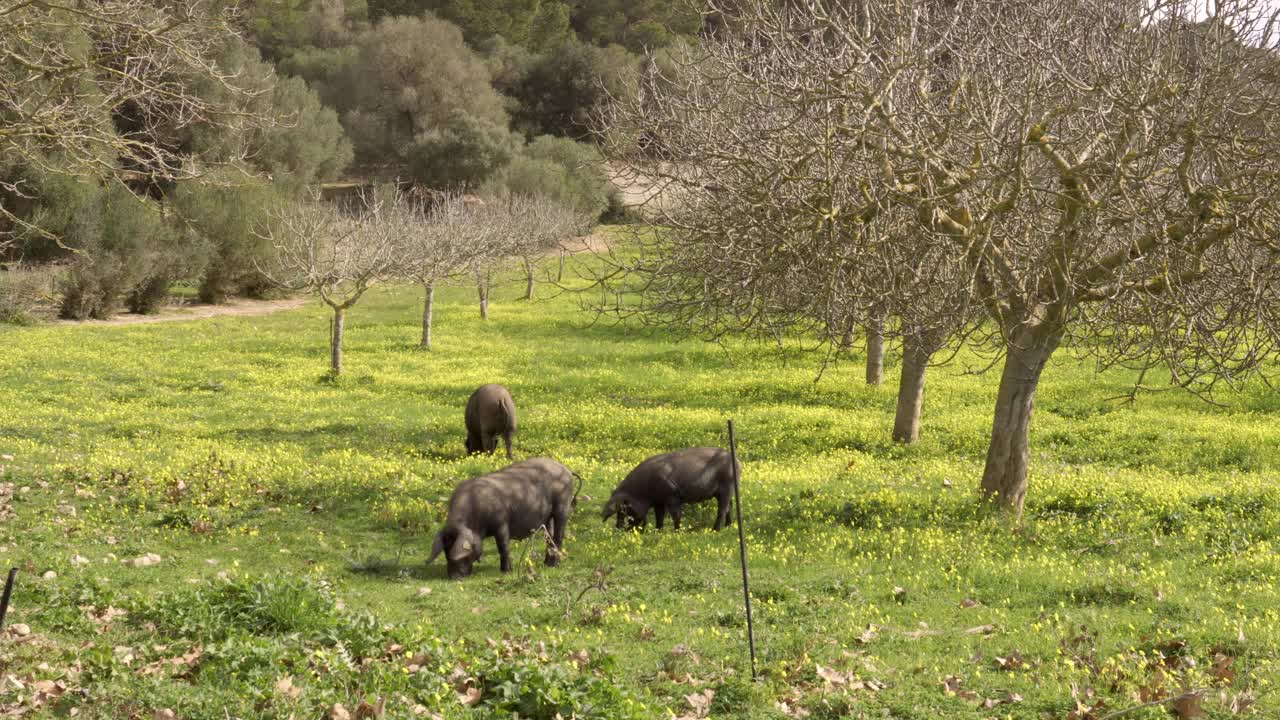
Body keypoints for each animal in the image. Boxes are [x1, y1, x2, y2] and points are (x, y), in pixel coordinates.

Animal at [427, 458, 578, 576]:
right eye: (445, 552)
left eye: (461, 554)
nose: (453, 577)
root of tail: (566, 470)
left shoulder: (501, 522)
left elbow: (503, 546)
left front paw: (506, 571)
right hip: (548, 516)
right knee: (549, 536)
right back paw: (546, 563)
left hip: (562, 506)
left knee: (558, 535)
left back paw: (554, 565)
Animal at [601, 445, 742, 530]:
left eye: (625, 510)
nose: (618, 529)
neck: (643, 491)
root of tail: (738, 461)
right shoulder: (658, 502)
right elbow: (659, 516)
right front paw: (658, 530)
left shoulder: (672, 495)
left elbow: (676, 514)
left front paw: (676, 531)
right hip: (725, 491)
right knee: (730, 506)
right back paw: (728, 526)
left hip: (727, 486)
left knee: (723, 509)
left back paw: (715, 530)